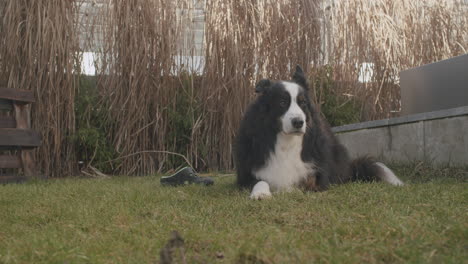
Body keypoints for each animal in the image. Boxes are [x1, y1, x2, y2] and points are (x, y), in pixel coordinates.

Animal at [236, 66, 404, 200]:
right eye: (282, 102)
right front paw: (260, 193)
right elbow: (260, 181)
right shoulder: (247, 174)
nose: (298, 122)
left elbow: (311, 182)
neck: (287, 141)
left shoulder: (319, 171)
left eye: (303, 103)